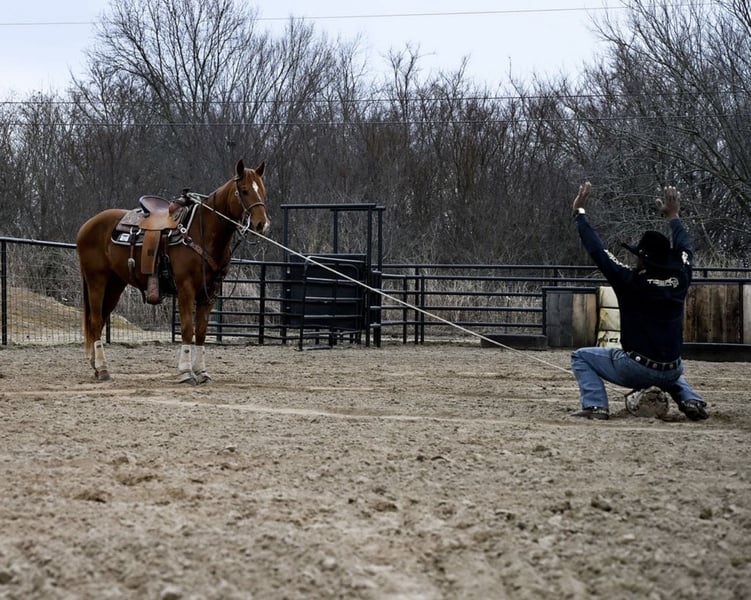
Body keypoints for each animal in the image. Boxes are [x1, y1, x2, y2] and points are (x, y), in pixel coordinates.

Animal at [76, 160, 270, 384]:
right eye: (245, 190)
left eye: (262, 190)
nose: (262, 224)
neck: (201, 232)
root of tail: (87, 226)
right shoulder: (186, 289)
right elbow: (186, 329)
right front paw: (186, 372)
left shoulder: (209, 293)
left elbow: (201, 332)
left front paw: (201, 371)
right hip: (96, 281)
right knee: (96, 321)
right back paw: (103, 369)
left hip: (115, 285)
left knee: (98, 321)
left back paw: (96, 366)